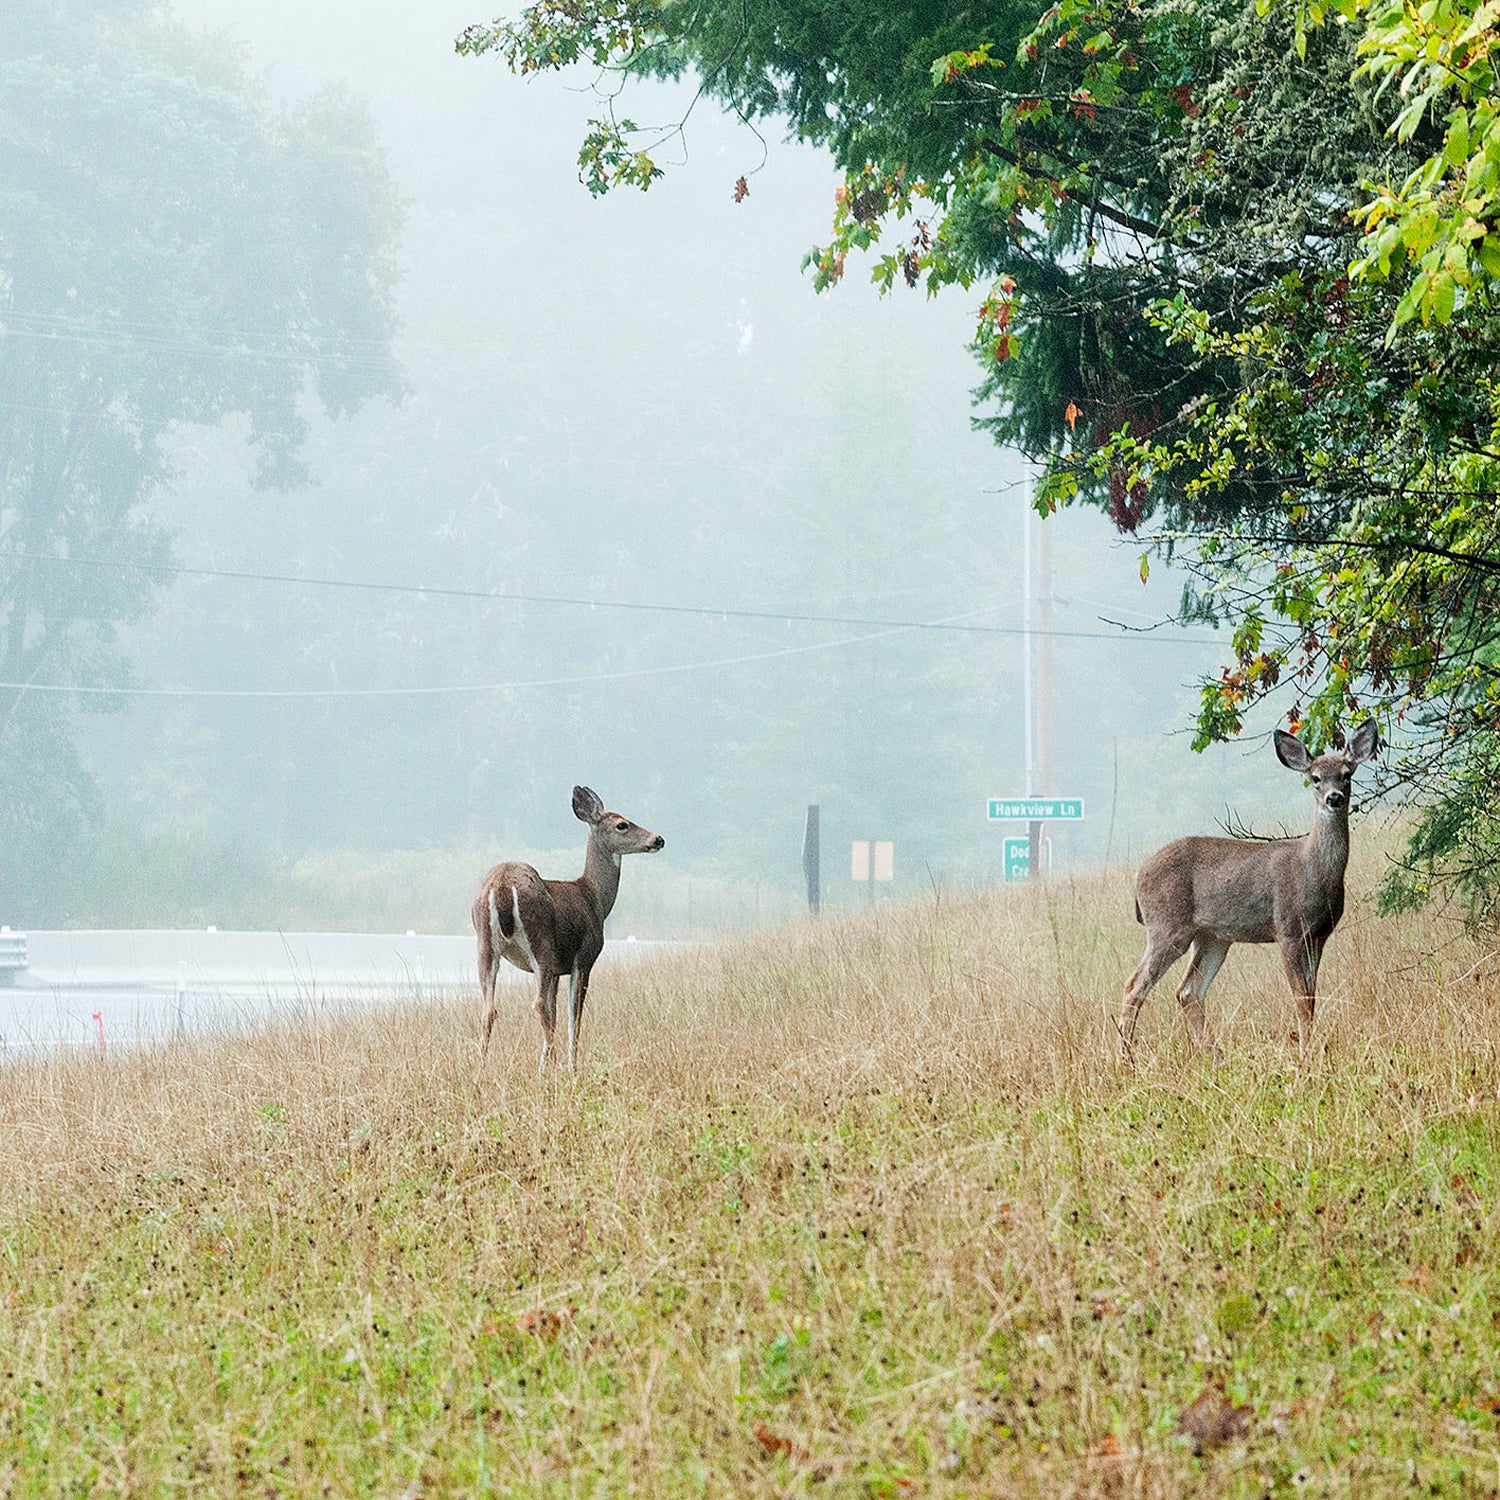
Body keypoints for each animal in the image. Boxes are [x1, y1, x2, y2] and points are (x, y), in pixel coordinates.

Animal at [471, 792, 666, 1074]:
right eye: (622, 824)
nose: (658, 839)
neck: (595, 899)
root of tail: (502, 887)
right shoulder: (583, 958)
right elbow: (574, 1014)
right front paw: (570, 1065)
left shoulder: (556, 971)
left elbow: (556, 1013)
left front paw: (550, 1064)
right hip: (541, 942)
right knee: (538, 1004)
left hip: (485, 943)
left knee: (489, 1009)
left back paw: (481, 1066)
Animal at [1122, 717, 1374, 1056]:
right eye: (1315, 778)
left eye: (1347, 774)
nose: (1334, 797)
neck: (1313, 870)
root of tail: (1138, 878)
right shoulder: (1288, 930)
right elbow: (1300, 998)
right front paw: (1306, 1052)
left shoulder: (1319, 935)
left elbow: (1311, 997)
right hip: (1167, 926)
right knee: (1134, 985)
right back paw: (1126, 1057)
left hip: (1212, 936)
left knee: (1187, 990)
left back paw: (1214, 1055)